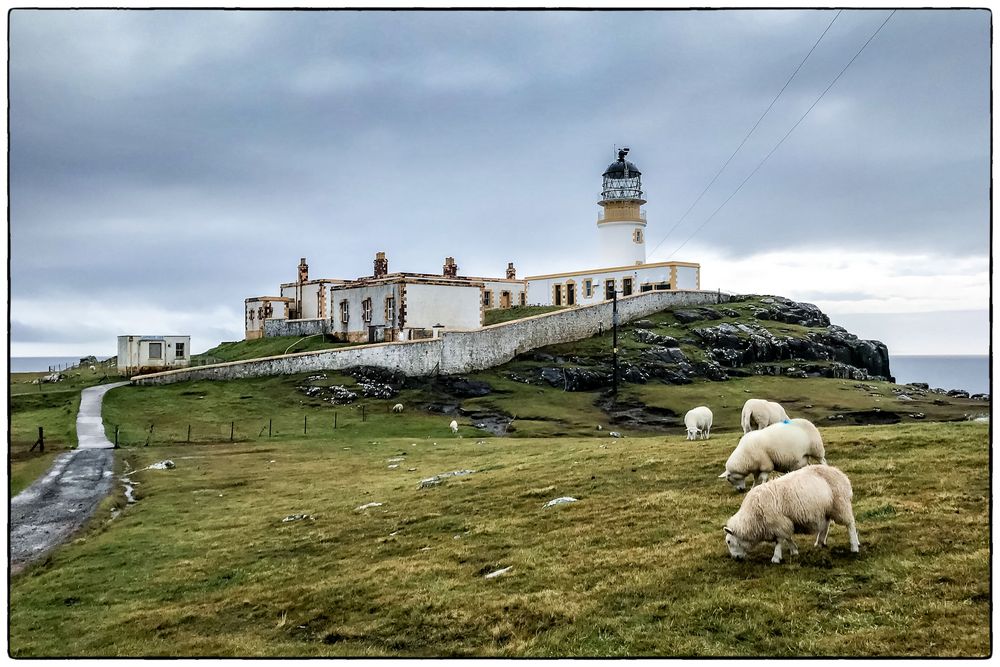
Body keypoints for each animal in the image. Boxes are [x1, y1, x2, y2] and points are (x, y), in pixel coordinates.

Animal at [724, 464, 856, 564]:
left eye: (729, 542)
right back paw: (820, 543)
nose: (736, 558)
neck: (753, 517)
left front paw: (776, 558)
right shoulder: (784, 523)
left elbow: (779, 541)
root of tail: (841, 474)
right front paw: (794, 550)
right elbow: (788, 537)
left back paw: (854, 546)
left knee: (850, 524)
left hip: (840, 504)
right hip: (826, 509)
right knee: (826, 525)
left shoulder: (778, 523)